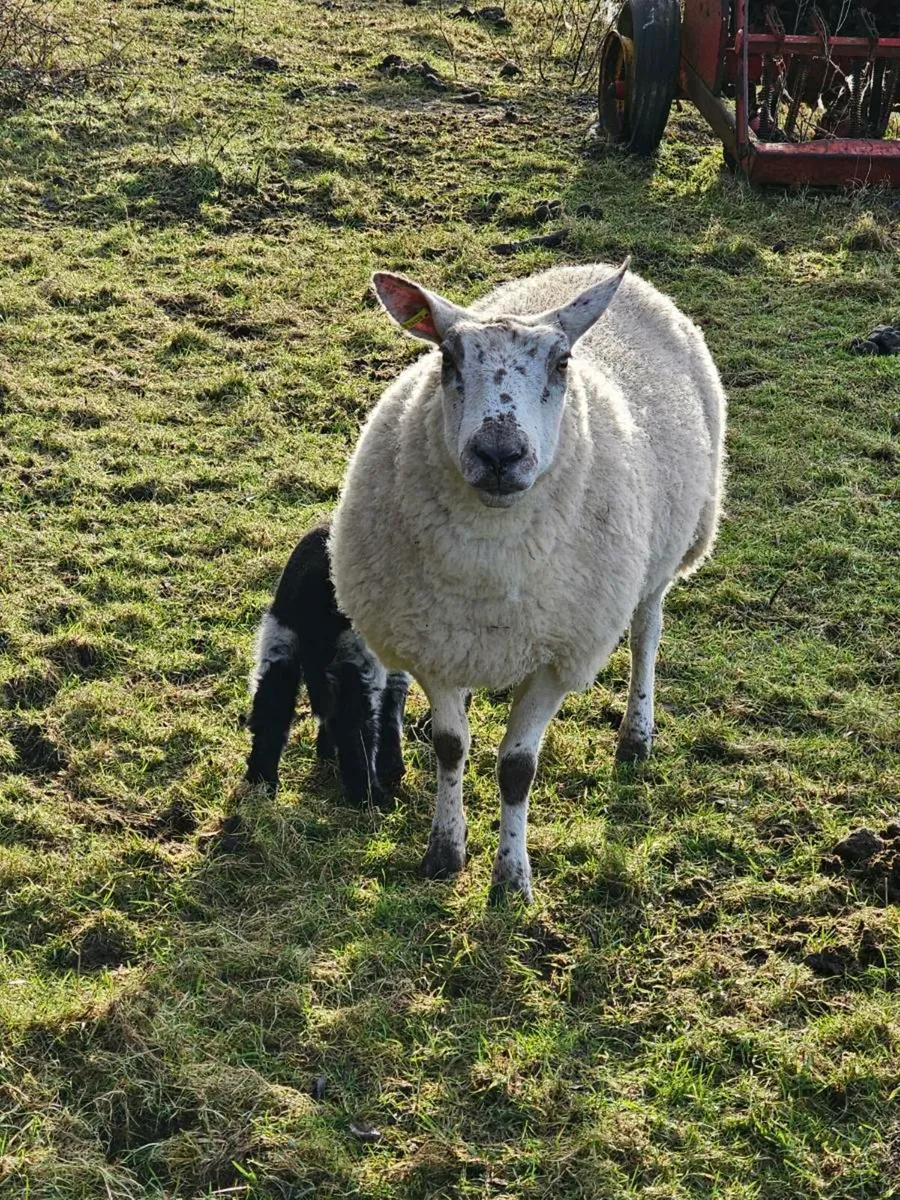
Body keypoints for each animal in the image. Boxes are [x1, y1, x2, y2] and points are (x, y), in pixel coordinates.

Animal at [245, 522, 410, 804]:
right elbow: (392, 708)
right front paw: (392, 768)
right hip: (358, 649)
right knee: (354, 721)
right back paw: (369, 797)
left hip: (280, 639)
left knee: (272, 706)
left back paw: (261, 781)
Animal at [329, 260, 726, 902]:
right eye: (447, 359)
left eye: (562, 363)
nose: (499, 454)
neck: (491, 564)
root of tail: (591, 267)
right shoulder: (434, 644)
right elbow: (451, 748)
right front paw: (445, 851)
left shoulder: (558, 659)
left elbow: (517, 770)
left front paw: (512, 879)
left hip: (664, 554)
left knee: (646, 631)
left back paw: (636, 732)